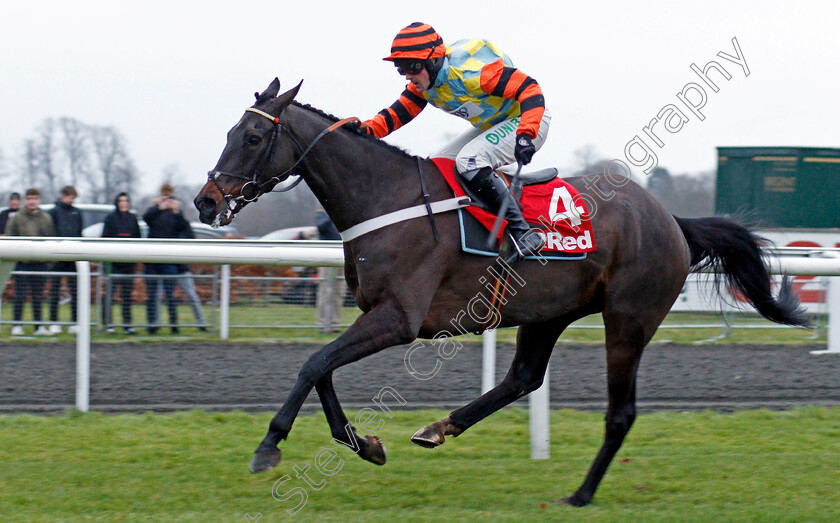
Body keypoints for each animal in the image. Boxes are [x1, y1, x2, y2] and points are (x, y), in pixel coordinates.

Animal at [192, 79, 808, 508]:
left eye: (252, 137)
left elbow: (313, 363)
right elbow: (322, 370)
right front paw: (366, 444)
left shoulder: (399, 318)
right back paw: (439, 428)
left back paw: (580, 494)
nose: (204, 201)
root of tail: (671, 220)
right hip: (549, 311)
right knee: (523, 378)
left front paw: (269, 446)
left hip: (629, 319)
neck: (384, 199)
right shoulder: (376, 315)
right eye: (227, 135)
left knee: (620, 412)